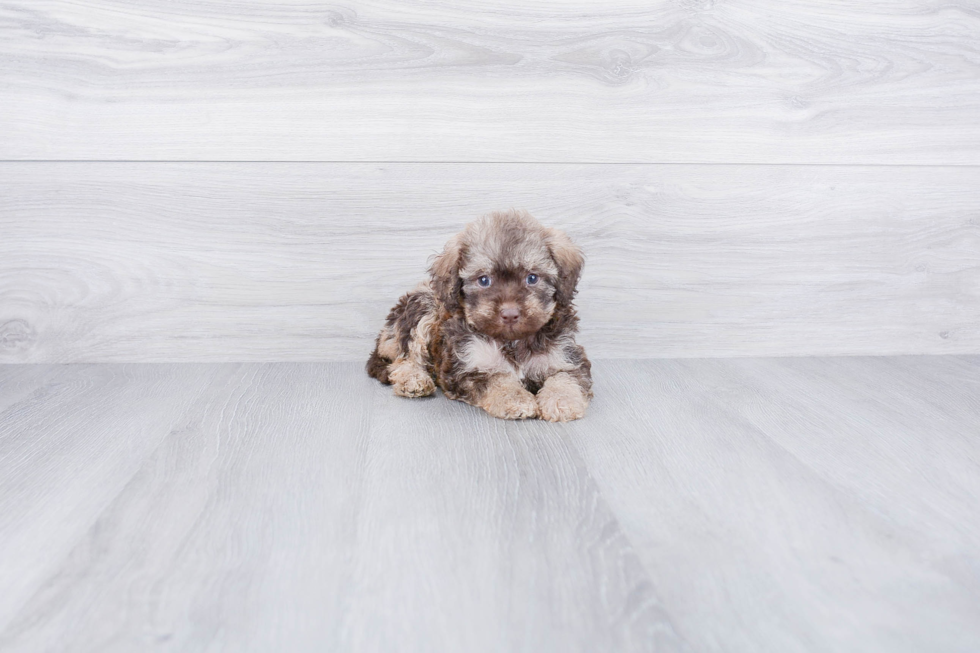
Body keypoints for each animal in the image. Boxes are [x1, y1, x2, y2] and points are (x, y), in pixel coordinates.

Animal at [364, 210, 588, 422]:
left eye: (532, 278)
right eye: (484, 280)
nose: (510, 314)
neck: (512, 341)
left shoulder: (566, 356)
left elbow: (565, 377)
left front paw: (561, 401)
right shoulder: (466, 366)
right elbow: (496, 378)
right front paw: (514, 398)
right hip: (422, 308)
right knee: (405, 358)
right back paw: (413, 380)